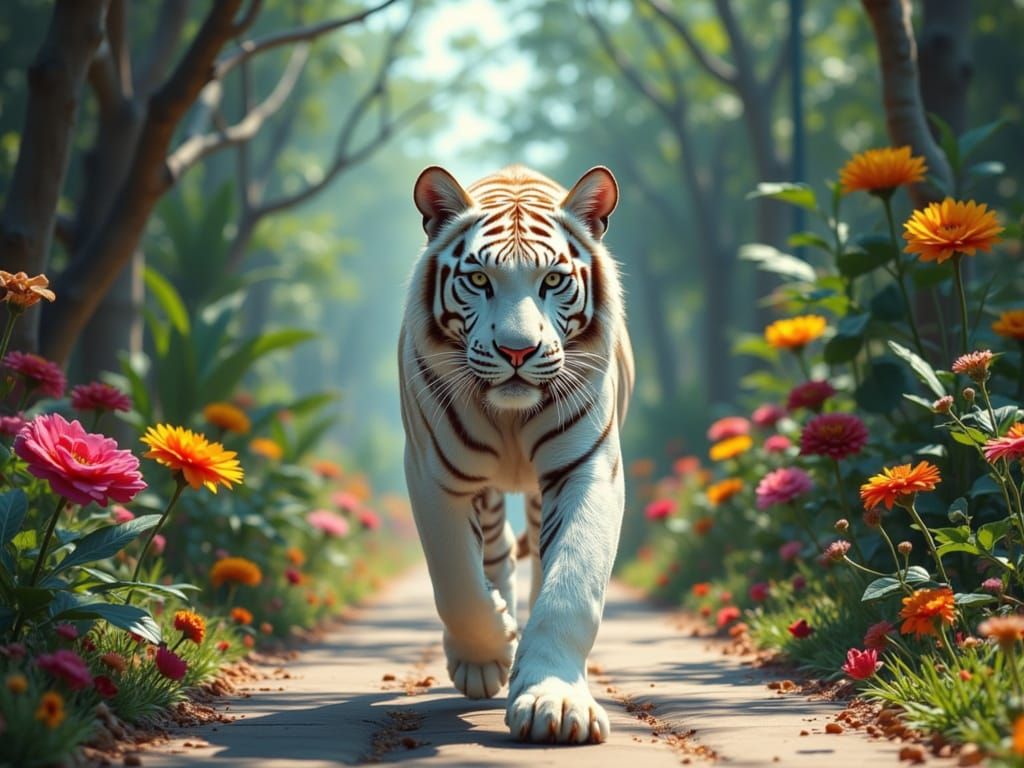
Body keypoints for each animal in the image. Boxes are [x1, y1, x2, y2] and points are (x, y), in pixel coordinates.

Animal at [398, 163, 634, 744]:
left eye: (552, 280)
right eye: (480, 280)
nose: (517, 351)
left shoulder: (587, 469)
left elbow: (571, 584)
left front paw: (557, 703)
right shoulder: (435, 475)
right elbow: (456, 584)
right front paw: (492, 643)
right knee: (494, 549)